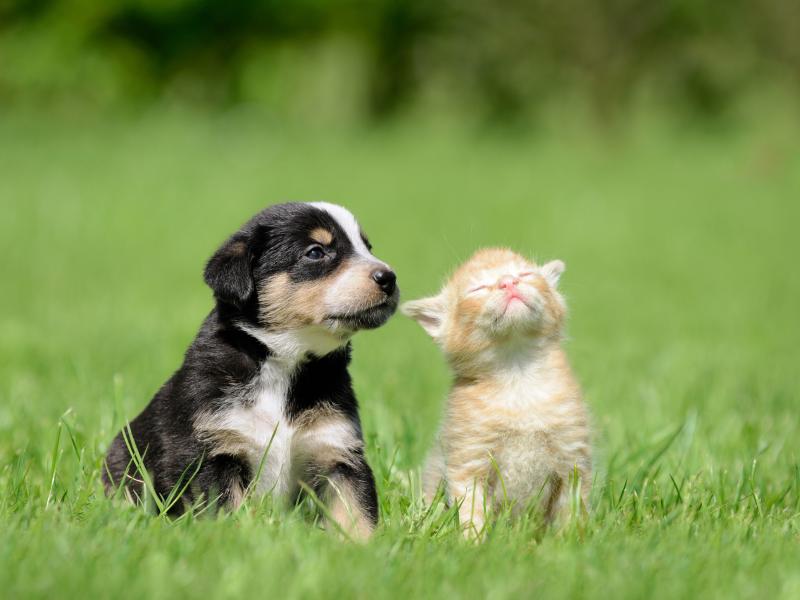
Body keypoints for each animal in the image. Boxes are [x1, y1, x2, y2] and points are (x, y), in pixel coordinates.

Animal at [103, 203, 396, 540]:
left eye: (367, 247)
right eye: (315, 252)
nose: (389, 277)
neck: (284, 364)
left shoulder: (337, 449)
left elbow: (355, 511)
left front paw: (363, 546)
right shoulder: (211, 451)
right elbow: (226, 509)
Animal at [404, 246, 592, 536]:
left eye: (525, 275)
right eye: (478, 288)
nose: (508, 282)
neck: (518, 377)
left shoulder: (573, 461)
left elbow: (571, 514)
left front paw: (570, 542)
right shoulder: (468, 463)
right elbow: (471, 514)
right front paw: (473, 543)